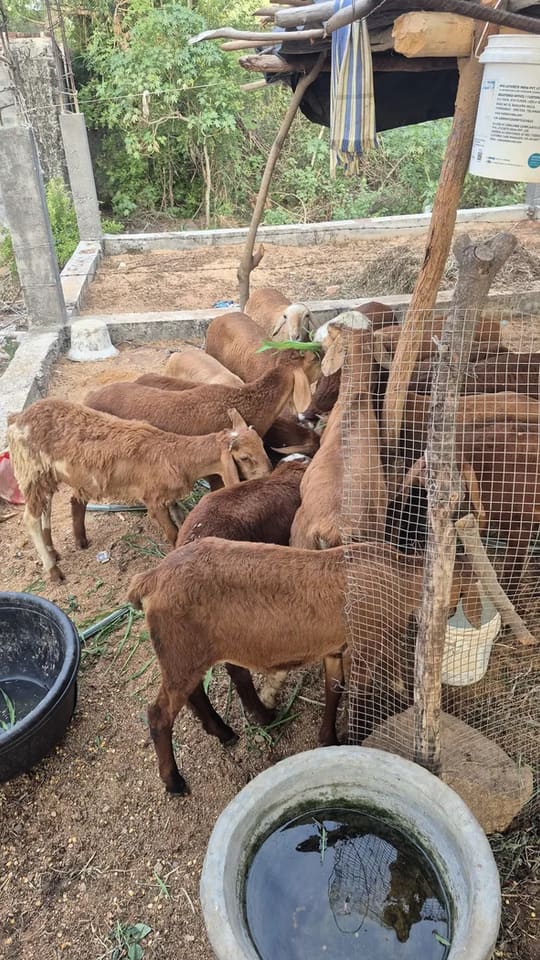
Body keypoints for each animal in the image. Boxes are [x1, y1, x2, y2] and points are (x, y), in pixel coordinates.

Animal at [7, 401, 270, 581]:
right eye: (245, 458)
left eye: (262, 444)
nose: (269, 474)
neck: (174, 455)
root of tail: (17, 419)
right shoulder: (152, 500)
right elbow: (172, 533)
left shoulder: (168, 498)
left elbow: (182, 518)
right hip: (30, 471)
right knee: (30, 518)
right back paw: (54, 570)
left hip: (45, 475)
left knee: (47, 508)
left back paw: (55, 551)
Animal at [127, 537, 478, 794]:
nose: (450, 614)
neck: (400, 580)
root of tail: (150, 579)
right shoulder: (364, 643)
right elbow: (358, 693)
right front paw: (355, 738)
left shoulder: (335, 649)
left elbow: (334, 690)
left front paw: (329, 739)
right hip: (181, 649)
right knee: (158, 714)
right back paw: (174, 782)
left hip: (186, 653)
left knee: (193, 694)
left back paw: (226, 731)